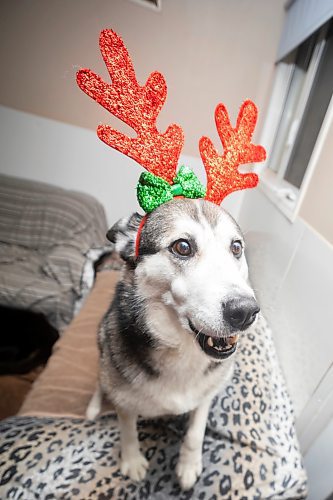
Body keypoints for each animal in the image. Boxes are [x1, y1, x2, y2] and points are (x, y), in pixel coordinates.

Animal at [87, 197, 258, 490]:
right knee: (101, 378)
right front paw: (132, 461)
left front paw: (188, 466)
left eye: (236, 247)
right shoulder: (124, 400)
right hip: (102, 338)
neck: (183, 349)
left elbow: (195, 433)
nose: (245, 311)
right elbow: (127, 430)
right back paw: (93, 407)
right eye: (182, 246)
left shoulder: (207, 395)